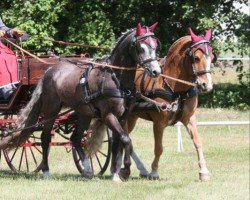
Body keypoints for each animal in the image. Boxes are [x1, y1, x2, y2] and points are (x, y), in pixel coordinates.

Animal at [0, 22, 161, 182]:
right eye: (141, 47)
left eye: (155, 46)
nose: (156, 71)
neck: (116, 78)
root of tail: (49, 71)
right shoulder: (108, 115)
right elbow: (126, 140)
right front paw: (125, 170)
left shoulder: (122, 117)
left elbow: (119, 142)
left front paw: (116, 173)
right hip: (51, 109)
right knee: (45, 137)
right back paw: (46, 171)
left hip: (84, 113)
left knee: (75, 138)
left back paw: (87, 170)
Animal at [128, 28, 216, 181]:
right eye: (196, 58)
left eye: (211, 56)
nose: (207, 85)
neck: (175, 87)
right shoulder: (159, 123)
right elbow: (159, 148)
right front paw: (154, 171)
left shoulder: (189, 119)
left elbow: (198, 142)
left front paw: (204, 171)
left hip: (133, 117)